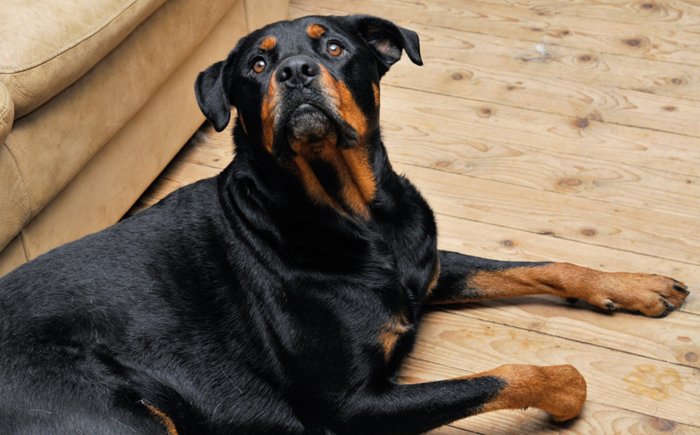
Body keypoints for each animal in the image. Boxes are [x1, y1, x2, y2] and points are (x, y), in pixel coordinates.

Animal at [0, 15, 688, 434]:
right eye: (255, 66)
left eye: (332, 47)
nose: (295, 73)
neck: (355, 215)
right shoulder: (354, 405)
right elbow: (534, 374)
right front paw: (568, 390)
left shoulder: (425, 267)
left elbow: (543, 264)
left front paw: (637, 286)